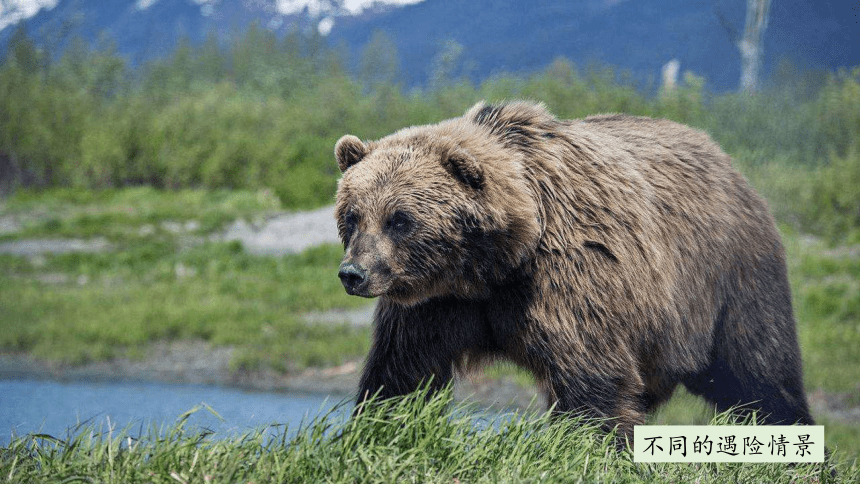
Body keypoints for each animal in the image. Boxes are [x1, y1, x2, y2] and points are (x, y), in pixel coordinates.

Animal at [332, 100, 816, 440]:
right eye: (353, 215)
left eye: (400, 219)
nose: (353, 273)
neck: (494, 265)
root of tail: (727, 162)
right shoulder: (436, 304)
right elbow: (402, 374)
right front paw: (376, 431)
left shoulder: (569, 280)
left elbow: (593, 382)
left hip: (728, 278)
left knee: (757, 370)